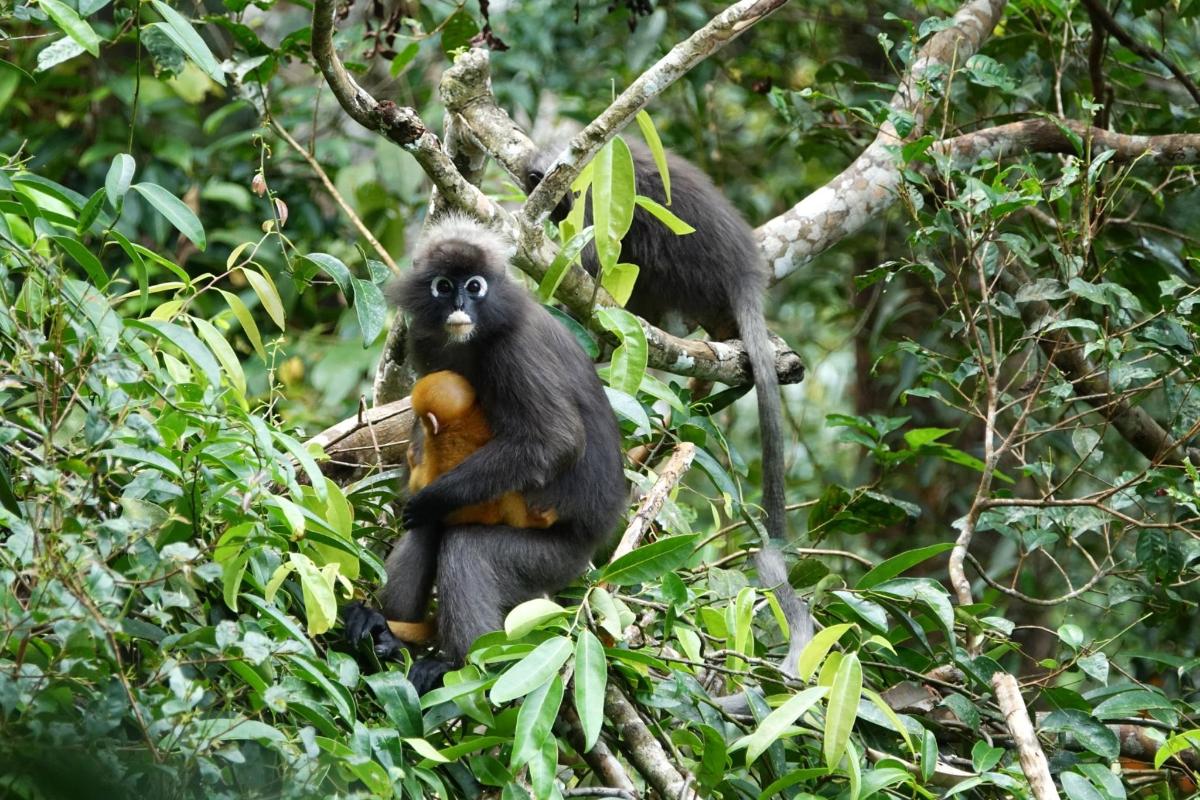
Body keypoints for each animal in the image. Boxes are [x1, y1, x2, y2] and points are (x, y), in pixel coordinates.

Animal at [345, 214, 628, 695]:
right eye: (443, 286)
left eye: (474, 286)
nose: (460, 302)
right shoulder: (426, 342)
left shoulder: (515, 351)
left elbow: (554, 439)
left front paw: (428, 497)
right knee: (429, 532)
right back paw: (386, 632)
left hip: (553, 560)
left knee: (465, 547)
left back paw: (461, 665)